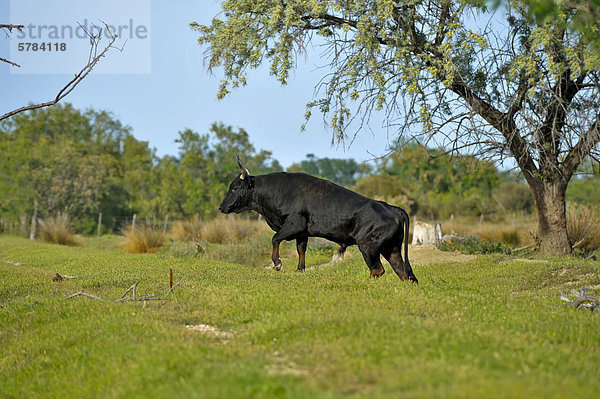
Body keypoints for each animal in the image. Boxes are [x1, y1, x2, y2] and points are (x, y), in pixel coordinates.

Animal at [218, 159, 420, 284]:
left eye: (234, 188)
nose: (221, 207)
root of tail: (390, 207)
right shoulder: (302, 233)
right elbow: (301, 250)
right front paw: (299, 270)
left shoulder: (294, 225)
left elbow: (275, 239)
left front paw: (278, 263)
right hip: (391, 249)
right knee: (402, 272)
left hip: (368, 247)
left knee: (378, 270)